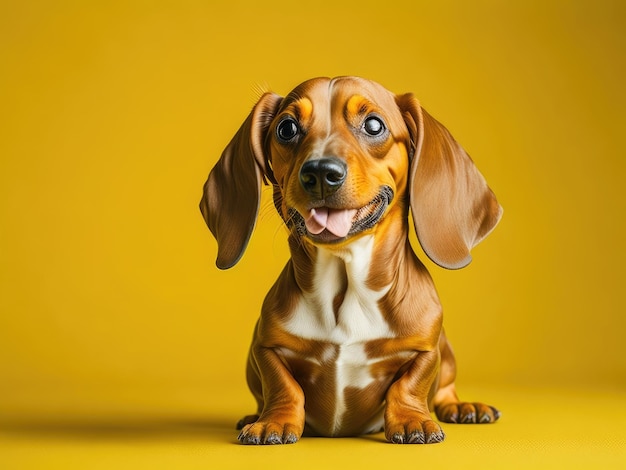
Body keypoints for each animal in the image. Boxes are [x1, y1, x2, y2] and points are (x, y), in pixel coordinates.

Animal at [200, 76, 502, 444]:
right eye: (286, 128)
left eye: (374, 125)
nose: (320, 172)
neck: (346, 284)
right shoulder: (263, 346)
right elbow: (283, 386)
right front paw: (274, 421)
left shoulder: (428, 348)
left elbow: (410, 384)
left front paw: (411, 420)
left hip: (448, 354)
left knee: (445, 387)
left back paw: (463, 407)